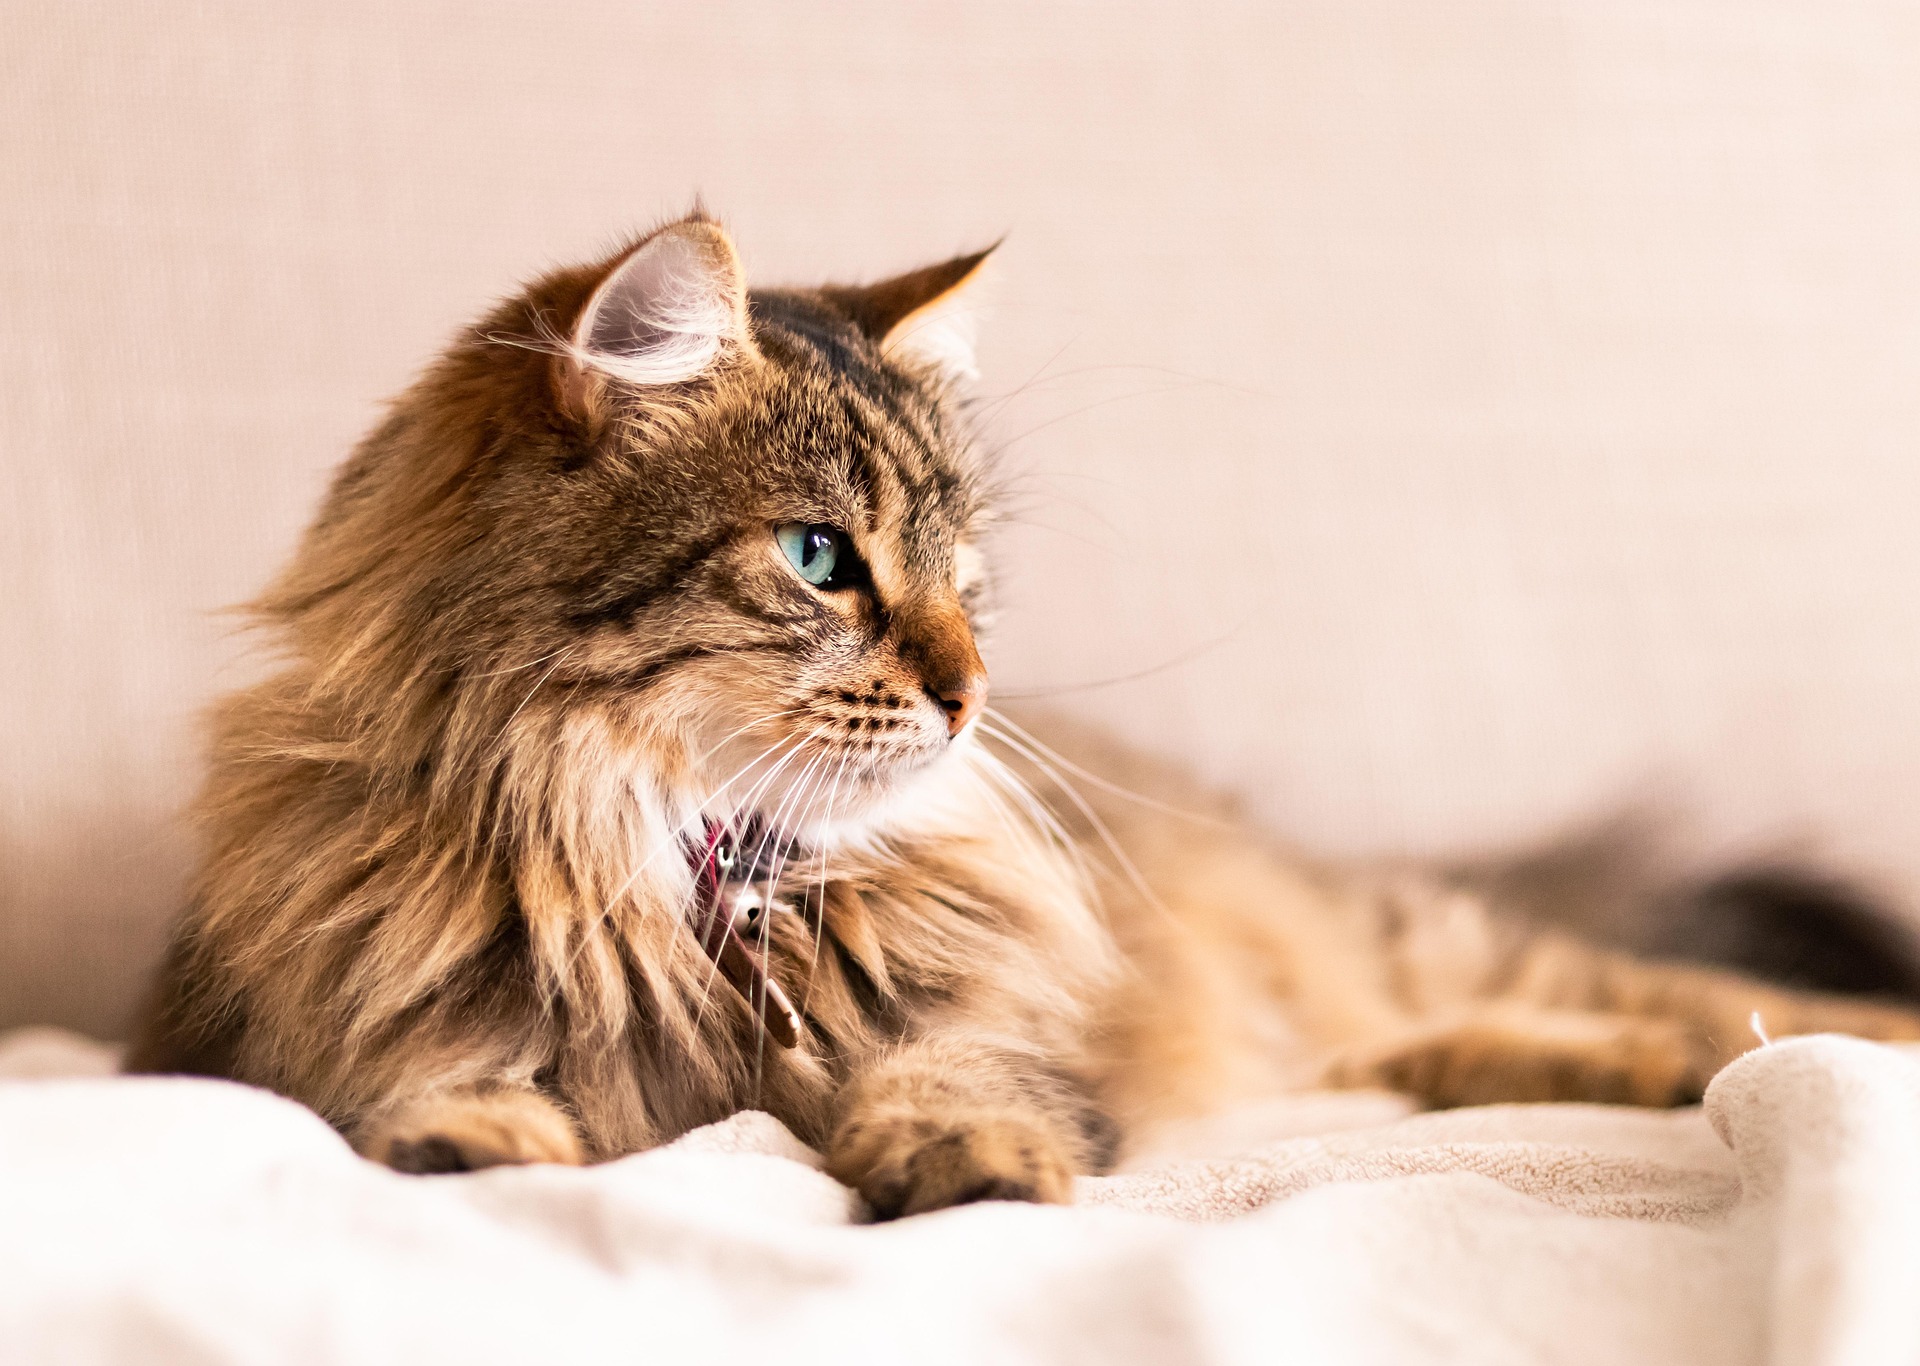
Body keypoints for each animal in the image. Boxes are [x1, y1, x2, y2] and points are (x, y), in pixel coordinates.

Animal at [127, 213, 1920, 1221]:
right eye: (821, 558)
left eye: (965, 582)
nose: (973, 692)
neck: (674, 858)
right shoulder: (292, 1025)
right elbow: (416, 1080)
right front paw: (479, 1142)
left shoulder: (995, 1027)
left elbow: (950, 1078)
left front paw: (966, 1168)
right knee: (1418, 1047)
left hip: (1413, 938)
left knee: (1689, 995)